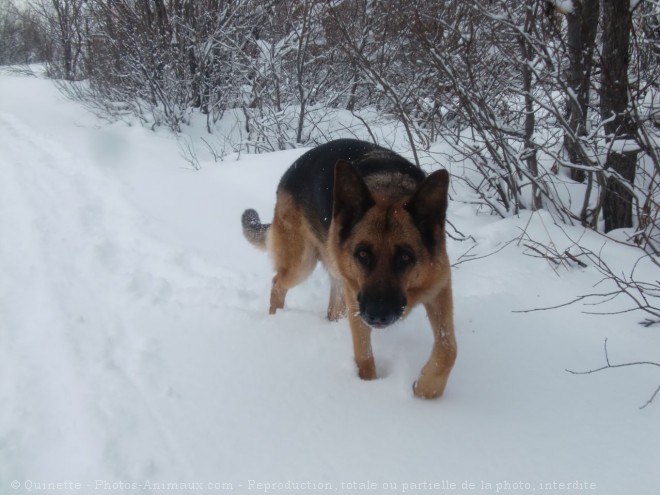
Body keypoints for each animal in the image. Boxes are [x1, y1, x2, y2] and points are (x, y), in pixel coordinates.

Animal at [241, 140, 454, 400]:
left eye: (405, 257)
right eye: (362, 254)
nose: (377, 315)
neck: (390, 191)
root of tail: (291, 170)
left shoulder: (440, 287)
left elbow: (448, 348)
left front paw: (426, 390)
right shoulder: (357, 300)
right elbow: (364, 355)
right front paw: (367, 388)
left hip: (338, 277)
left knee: (331, 309)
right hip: (303, 264)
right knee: (277, 284)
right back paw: (276, 318)